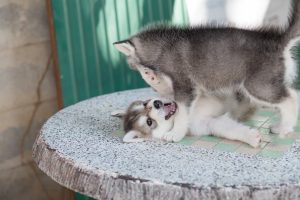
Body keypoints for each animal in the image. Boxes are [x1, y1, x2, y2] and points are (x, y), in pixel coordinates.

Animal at [113, 0, 298, 142]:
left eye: (141, 70)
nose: (156, 98)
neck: (163, 47)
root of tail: (277, 40)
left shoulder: (184, 85)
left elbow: (181, 113)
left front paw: (175, 134)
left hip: (258, 85)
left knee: (291, 98)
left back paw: (284, 127)